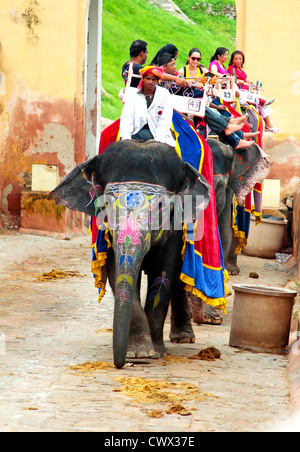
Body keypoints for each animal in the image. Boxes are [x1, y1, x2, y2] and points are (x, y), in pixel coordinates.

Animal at [51, 139, 211, 370]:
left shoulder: (174, 226)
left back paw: (183, 338)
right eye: (105, 205)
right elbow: (116, 269)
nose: (122, 364)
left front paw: (155, 353)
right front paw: (138, 353)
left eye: (161, 206)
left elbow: (164, 272)